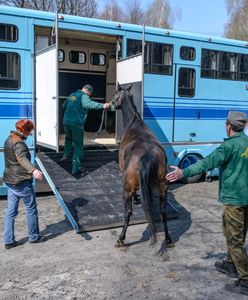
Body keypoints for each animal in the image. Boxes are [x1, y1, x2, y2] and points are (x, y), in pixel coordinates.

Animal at [109, 83, 173, 250]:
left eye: (115, 94)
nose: (111, 105)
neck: (134, 122)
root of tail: (148, 156)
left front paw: (137, 199)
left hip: (127, 188)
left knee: (128, 212)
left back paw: (121, 238)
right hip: (163, 187)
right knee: (163, 212)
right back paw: (169, 239)